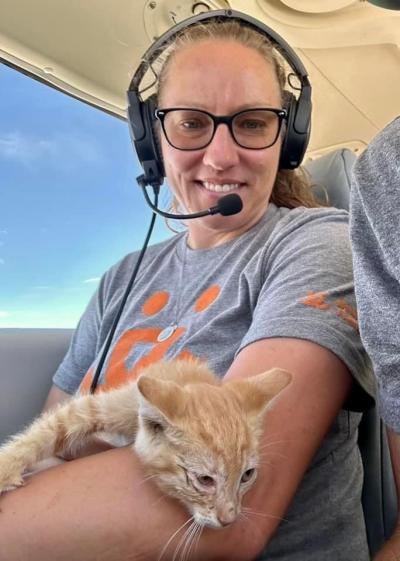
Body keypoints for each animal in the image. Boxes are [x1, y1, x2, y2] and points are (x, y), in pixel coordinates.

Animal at [0, 358, 290, 528]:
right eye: (205, 480)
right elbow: (51, 428)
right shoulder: (104, 406)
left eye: (247, 476)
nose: (229, 519)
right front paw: (6, 468)